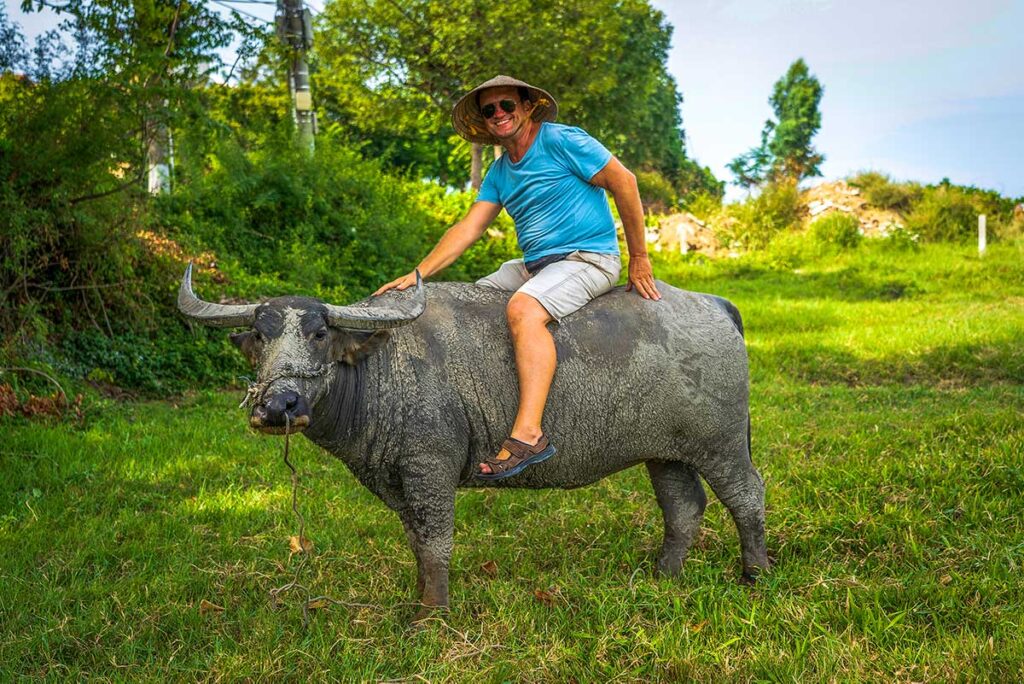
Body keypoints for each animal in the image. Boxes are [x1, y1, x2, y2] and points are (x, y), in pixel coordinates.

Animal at [178, 262, 770, 618]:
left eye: (320, 333)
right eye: (260, 337)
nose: (278, 406)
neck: (383, 367)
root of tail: (715, 305)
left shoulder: (430, 470)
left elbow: (437, 542)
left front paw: (432, 615)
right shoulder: (400, 482)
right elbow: (417, 542)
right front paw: (421, 600)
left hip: (720, 444)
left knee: (747, 496)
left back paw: (755, 574)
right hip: (667, 452)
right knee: (684, 506)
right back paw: (662, 576)